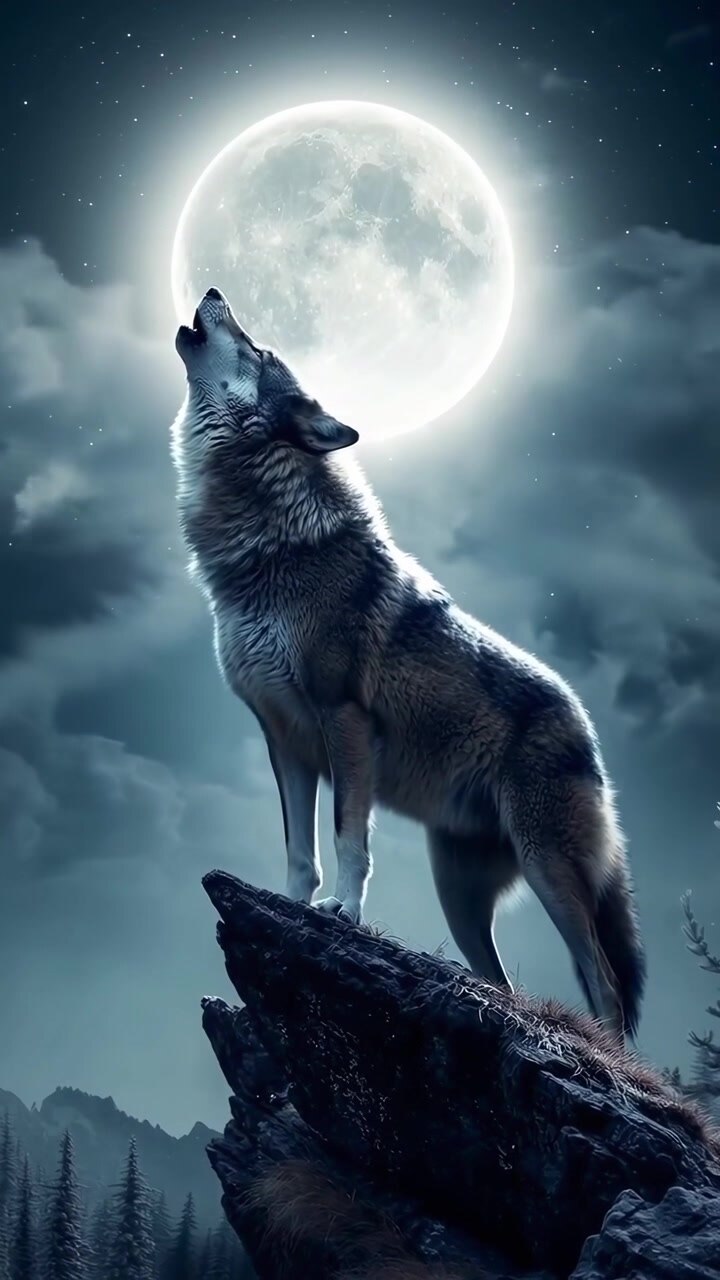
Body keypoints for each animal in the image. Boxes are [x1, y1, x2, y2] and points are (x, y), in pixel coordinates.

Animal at [172, 286, 646, 1039]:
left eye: (259, 348)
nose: (215, 290)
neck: (267, 549)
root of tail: (585, 724)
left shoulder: (343, 719)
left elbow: (348, 841)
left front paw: (344, 916)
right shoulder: (284, 739)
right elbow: (301, 854)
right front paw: (290, 912)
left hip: (549, 869)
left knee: (605, 987)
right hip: (459, 892)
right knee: (502, 982)